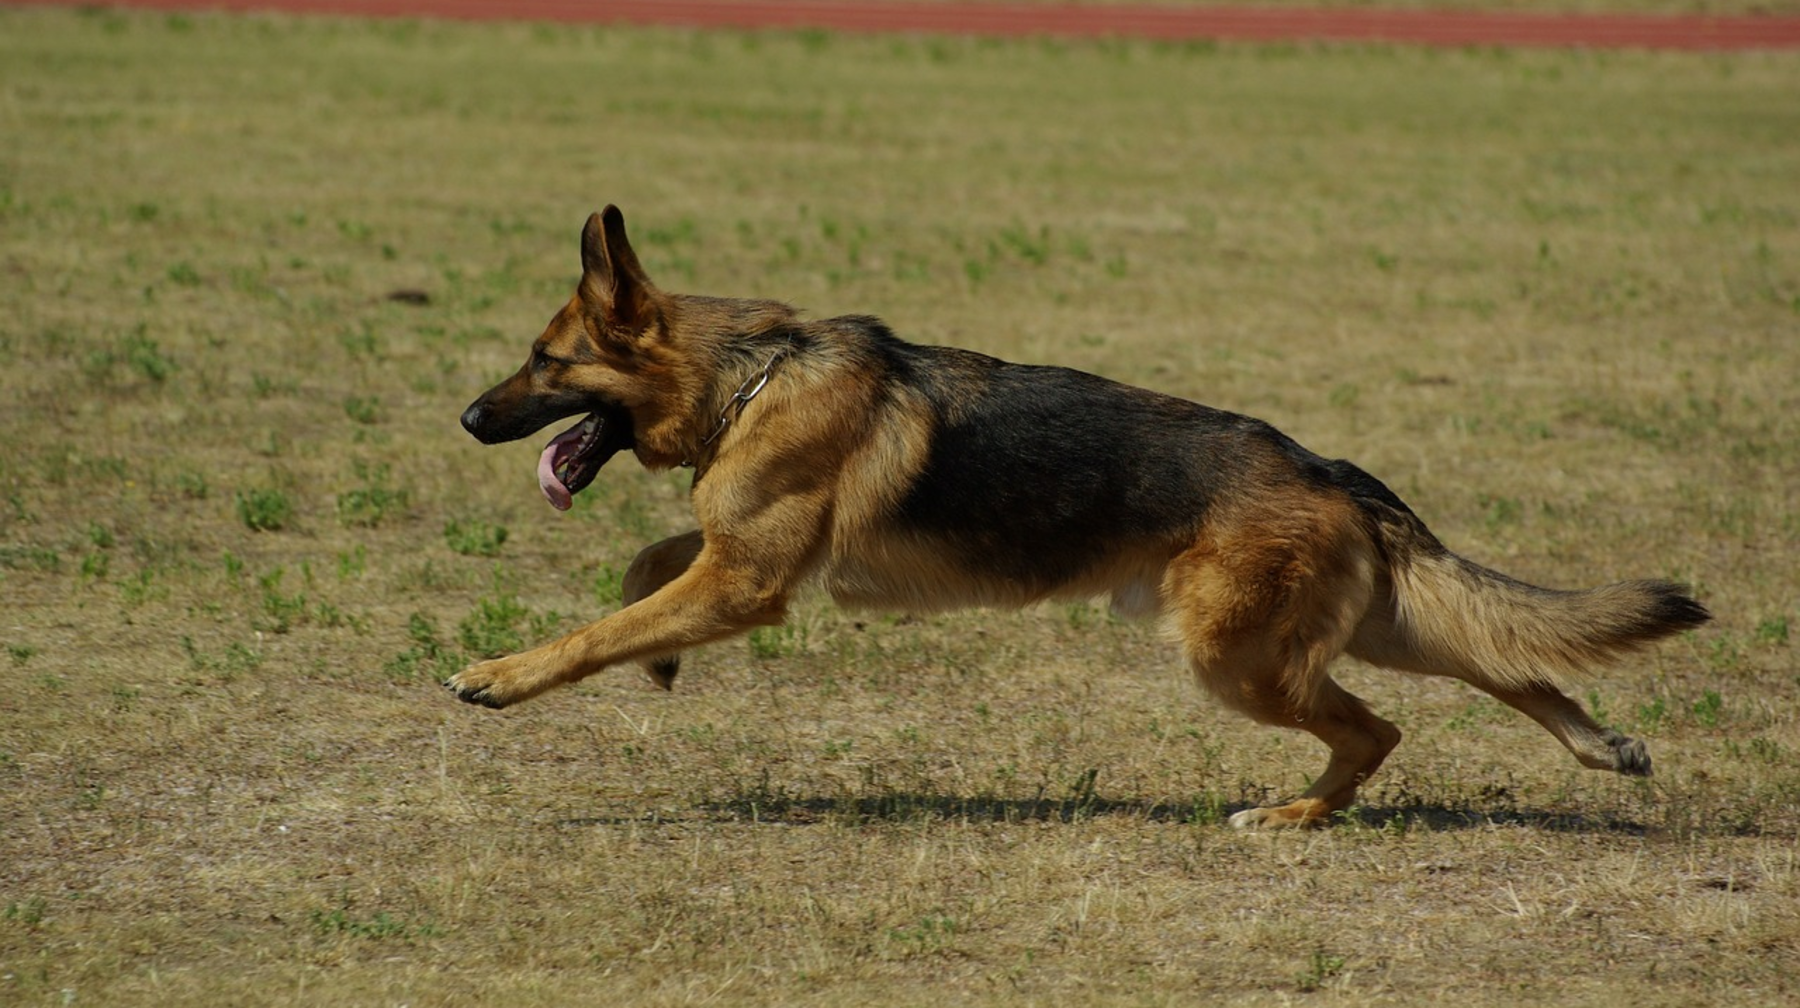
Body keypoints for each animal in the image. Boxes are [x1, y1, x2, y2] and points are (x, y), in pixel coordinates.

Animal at [446, 205, 1699, 828]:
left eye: (544, 361)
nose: (465, 417)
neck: (751, 372)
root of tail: (1331, 469)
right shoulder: (740, 562)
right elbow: (647, 572)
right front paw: (654, 658)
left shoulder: (746, 583)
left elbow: (603, 626)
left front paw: (502, 675)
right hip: (1357, 626)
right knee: (1504, 658)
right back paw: (1599, 745)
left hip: (1239, 659)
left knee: (1379, 731)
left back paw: (1292, 817)